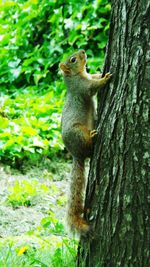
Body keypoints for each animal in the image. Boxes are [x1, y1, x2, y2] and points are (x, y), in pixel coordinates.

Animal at [59, 50, 112, 234]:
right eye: (73, 59)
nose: (82, 51)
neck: (78, 75)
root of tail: (76, 153)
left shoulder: (88, 76)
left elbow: (94, 76)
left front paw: (101, 72)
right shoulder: (83, 87)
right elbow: (93, 87)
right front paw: (105, 79)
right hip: (79, 133)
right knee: (89, 148)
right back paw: (94, 137)